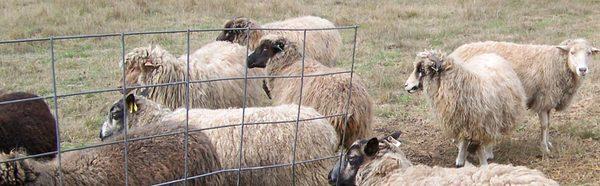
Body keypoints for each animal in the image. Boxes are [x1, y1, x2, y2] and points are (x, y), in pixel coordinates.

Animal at [450, 38, 600, 153]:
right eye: (572, 52)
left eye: (589, 53)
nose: (582, 70)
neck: (557, 62)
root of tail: (456, 52)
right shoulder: (544, 99)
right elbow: (544, 125)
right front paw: (545, 148)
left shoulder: (549, 101)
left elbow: (549, 124)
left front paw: (548, 143)